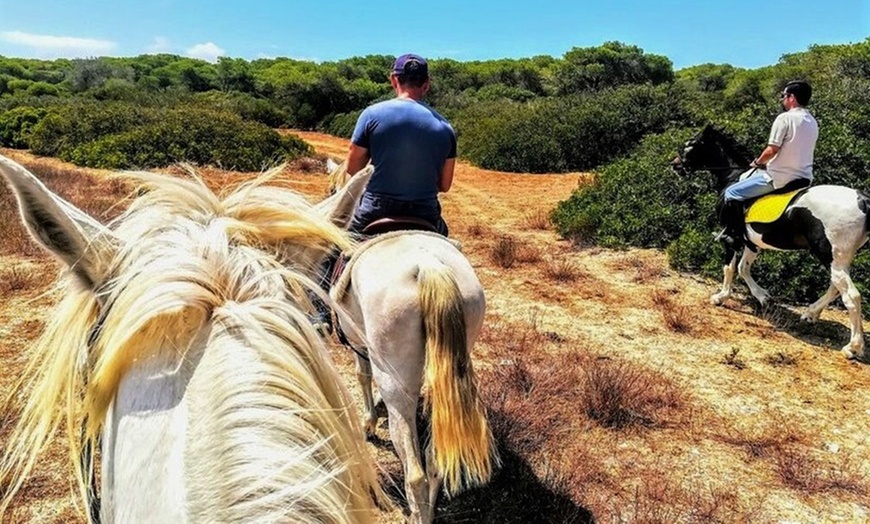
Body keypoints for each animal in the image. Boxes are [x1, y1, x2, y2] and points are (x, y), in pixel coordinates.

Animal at [326, 159, 498, 524]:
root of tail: (429, 266)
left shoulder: (360, 345)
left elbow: (363, 376)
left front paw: (368, 424)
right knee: (434, 463)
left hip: (396, 381)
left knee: (415, 472)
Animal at [676, 125, 870, 358]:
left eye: (691, 144)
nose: (675, 164)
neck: (733, 176)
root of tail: (863, 201)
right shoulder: (752, 242)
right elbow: (743, 268)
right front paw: (764, 298)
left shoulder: (732, 239)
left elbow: (729, 268)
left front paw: (721, 297)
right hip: (839, 258)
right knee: (835, 287)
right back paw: (810, 314)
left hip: (831, 256)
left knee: (851, 296)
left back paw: (853, 347)